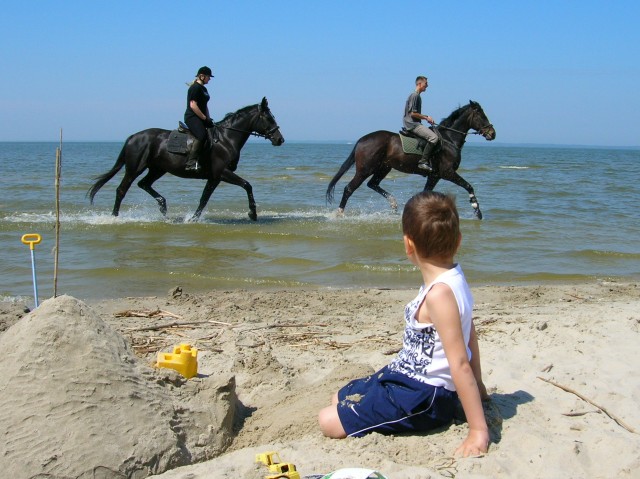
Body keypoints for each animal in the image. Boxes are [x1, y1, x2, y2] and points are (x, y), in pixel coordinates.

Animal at [87, 99, 282, 223]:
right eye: (269, 118)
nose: (280, 139)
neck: (226, 139)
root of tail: (133, 137)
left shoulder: (214, 178)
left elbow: (204, 199)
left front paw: (193, 218)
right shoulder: (222, 173)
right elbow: (247, 185)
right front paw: (252, 213)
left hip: (157, 169)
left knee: (144, 184)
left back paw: (163, 206)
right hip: (135, 168)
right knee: (122, 190)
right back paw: (114, 217)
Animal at [324, 103, 496, 221]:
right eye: (481, 115)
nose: (492, 133)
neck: (449, 140)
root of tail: (361, 140)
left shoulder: (434, 176)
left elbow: (425, 192)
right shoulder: (447, 172)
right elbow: (468, 186)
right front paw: (477, 211)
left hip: (384, 168)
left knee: (373, 184)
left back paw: (393, 204)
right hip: (365, 169)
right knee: (349, 188)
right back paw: (339, 213)